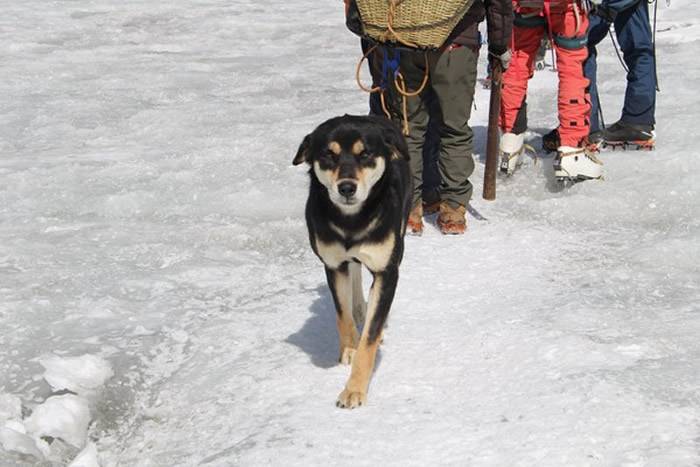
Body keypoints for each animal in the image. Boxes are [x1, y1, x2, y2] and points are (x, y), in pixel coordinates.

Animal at [292, 114, 412, 410]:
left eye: (365, 153)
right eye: (328, 155)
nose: (347, 187)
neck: (352, 221)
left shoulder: (387, 271)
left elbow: (370, 336)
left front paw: (354, 389)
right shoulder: (333, 265)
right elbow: (342, 314)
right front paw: (349, 348)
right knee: (355, 274)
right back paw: (360, 308)